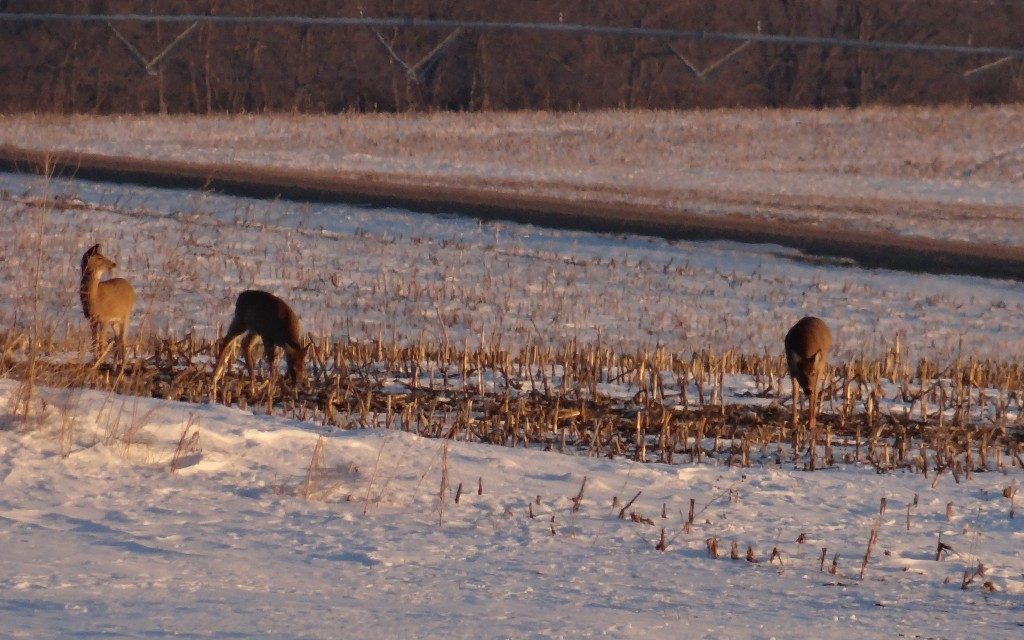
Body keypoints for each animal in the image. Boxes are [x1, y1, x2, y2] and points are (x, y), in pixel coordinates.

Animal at [782, 315, 831, 468]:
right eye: (800, 374)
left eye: (812, 372)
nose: (808, 390)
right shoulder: (791, 370)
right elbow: (794, 394)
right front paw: (794, 421)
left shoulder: (818, 372)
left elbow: (814, 396)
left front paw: (811, 424)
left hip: (823, 365)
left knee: (817, 393)